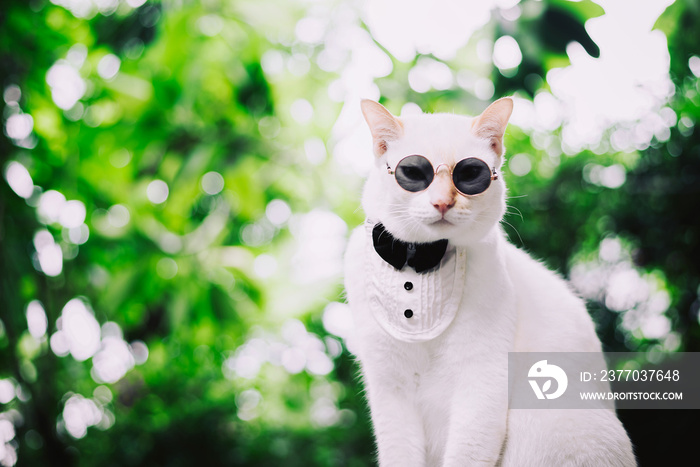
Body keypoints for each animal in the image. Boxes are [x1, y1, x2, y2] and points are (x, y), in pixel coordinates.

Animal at [342, 98, 636, 464]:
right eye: (412, 174)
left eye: (469, 175)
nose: (442, 202)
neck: (419, 260)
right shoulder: (390, 392)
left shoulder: (480, 382)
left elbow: (465, 453)